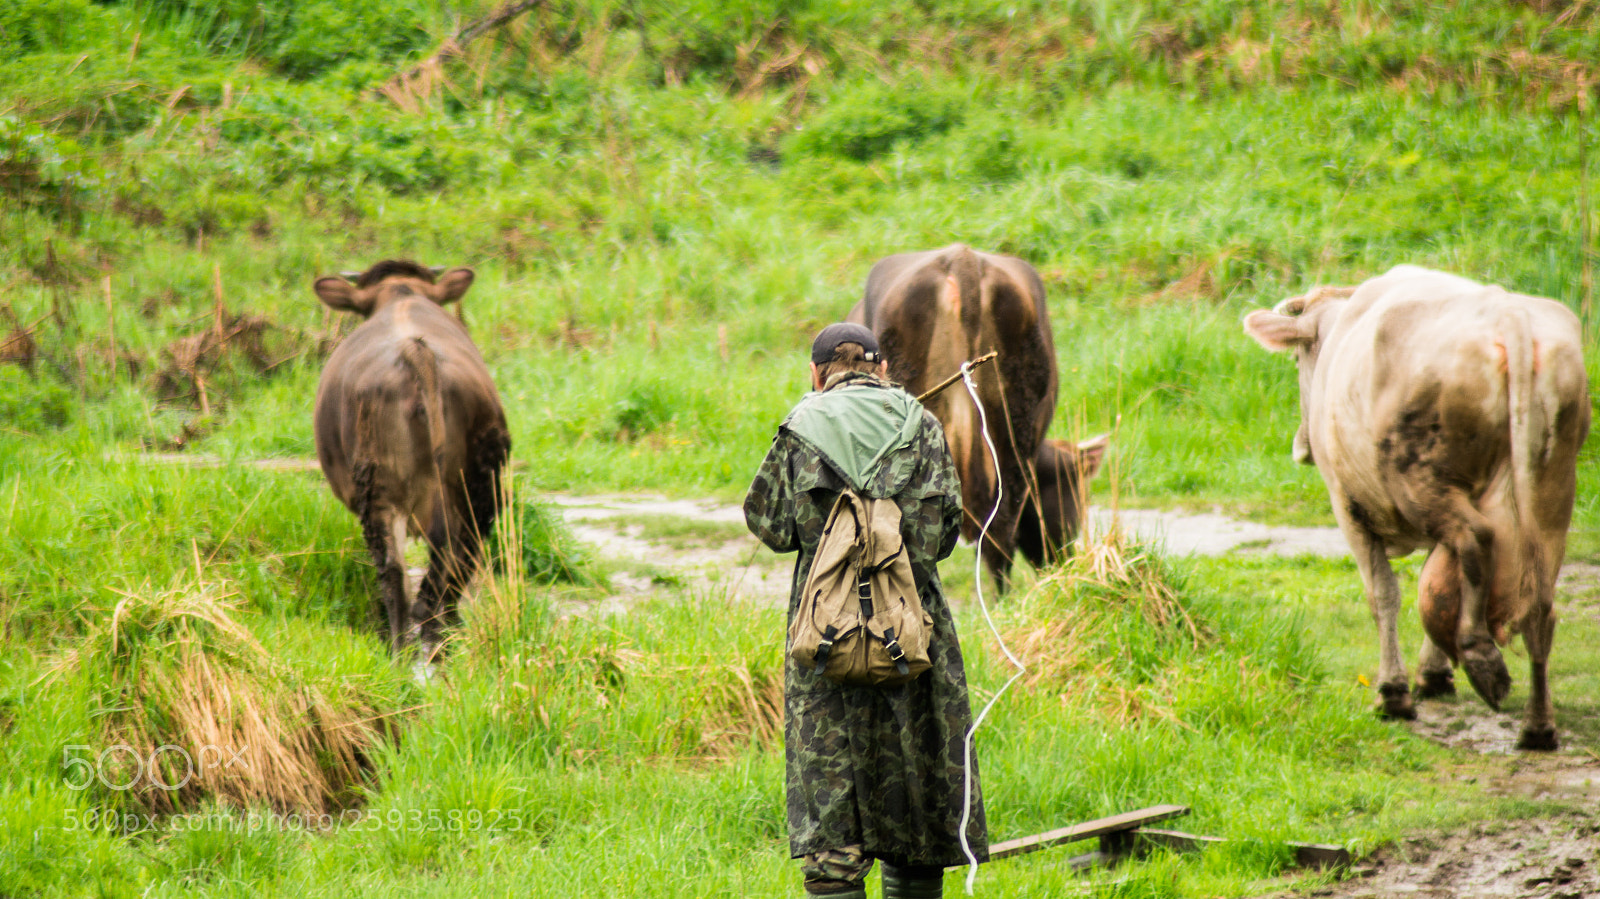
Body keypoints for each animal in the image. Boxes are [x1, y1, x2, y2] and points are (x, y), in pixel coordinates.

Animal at [308, 255, 508, 655]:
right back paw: (438, 629)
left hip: (378, 486)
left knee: (395, 567)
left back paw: (404, 646)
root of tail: (416, 351)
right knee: (462, 550)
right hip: (480, 480)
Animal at [1241, 262, 1593, 745]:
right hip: (1551, 488)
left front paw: (1394, 692)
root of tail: (1507, 314)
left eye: (1297, 360)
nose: (1301, 446)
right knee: (1538, 601)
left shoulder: (1347, 507)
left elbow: (1383, 594)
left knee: (1476, 540)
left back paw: (1481, 659)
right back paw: (1537, 726)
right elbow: (1435, 581)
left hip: (1422, 480)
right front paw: (1433, 674)